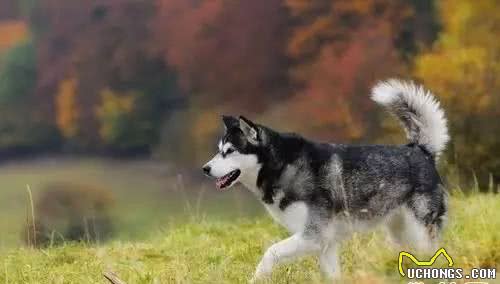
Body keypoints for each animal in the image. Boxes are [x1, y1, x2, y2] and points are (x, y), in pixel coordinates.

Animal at [203, 79, 450, 280]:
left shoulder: (313, 235)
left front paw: (257, 277)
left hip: (420, 229)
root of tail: (420, 150)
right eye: (218, 150)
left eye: (229, 151)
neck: (282, 166)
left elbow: (270, 252)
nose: (205, 169)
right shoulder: (326, 243)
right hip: (400, 231)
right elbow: (331, 275)